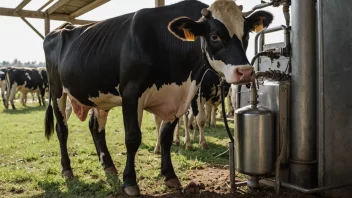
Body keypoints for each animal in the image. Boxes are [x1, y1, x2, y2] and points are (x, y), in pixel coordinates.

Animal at [42, 0, 272, 195]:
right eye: (215, 36)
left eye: (246, 34)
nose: (245, 72)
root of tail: (61, 28)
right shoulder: (131, 93)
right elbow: (133, 138)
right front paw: (130, 182)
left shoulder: (179, 99)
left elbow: (166, 136)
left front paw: (170, 176)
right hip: (57, 91)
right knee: (62, 129)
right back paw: (67, 170)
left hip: (99, 97)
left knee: (96, 128)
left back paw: (109, 166)